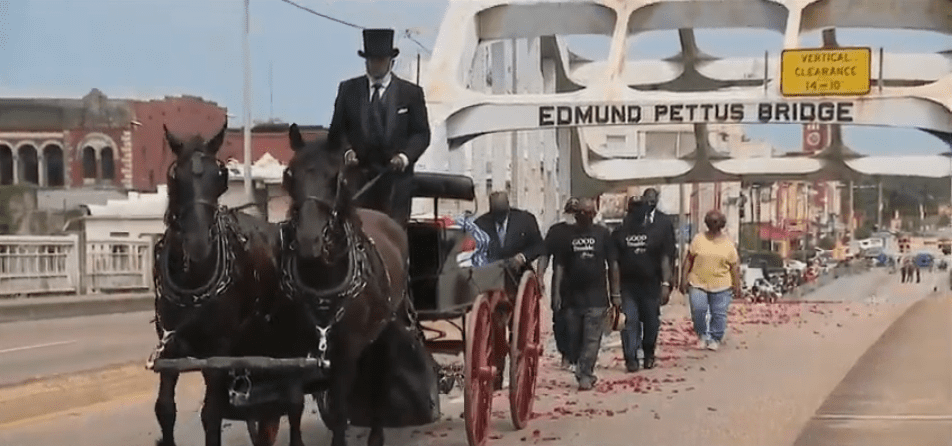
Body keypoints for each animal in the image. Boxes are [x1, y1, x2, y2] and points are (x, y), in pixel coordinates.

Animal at [151, 122, 280, 446]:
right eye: (175, 176)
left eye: (219, 176)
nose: (198, 244)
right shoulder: (169, 346)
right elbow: (165, 409)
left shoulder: (218, 350)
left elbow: (211, 414)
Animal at [278, 123, 436, 446]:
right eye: (290, 174)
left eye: (335, 177)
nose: (309, 241)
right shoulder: (295, 351)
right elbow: (294, 404)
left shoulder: (345, 354)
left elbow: (340, 409)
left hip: (385, 331)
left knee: (379, 381)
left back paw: (376, 433)